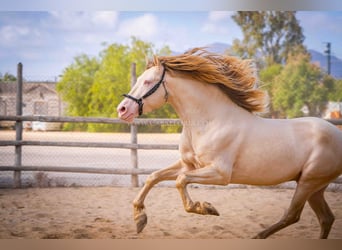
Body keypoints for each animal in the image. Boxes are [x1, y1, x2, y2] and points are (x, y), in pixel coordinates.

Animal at [115, 48, 342, 238]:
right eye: (140, 79)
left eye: (148, 82)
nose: (122, 110)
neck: (210, 122)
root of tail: (337, 134)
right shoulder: (189, 165)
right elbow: (153, 177)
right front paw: (140, 219)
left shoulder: (220, 173)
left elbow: (180, 181)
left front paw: (207, 208)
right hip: (314, 187)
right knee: (326, 218)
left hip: (309, 182)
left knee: (293, 215)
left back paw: (257, 236)